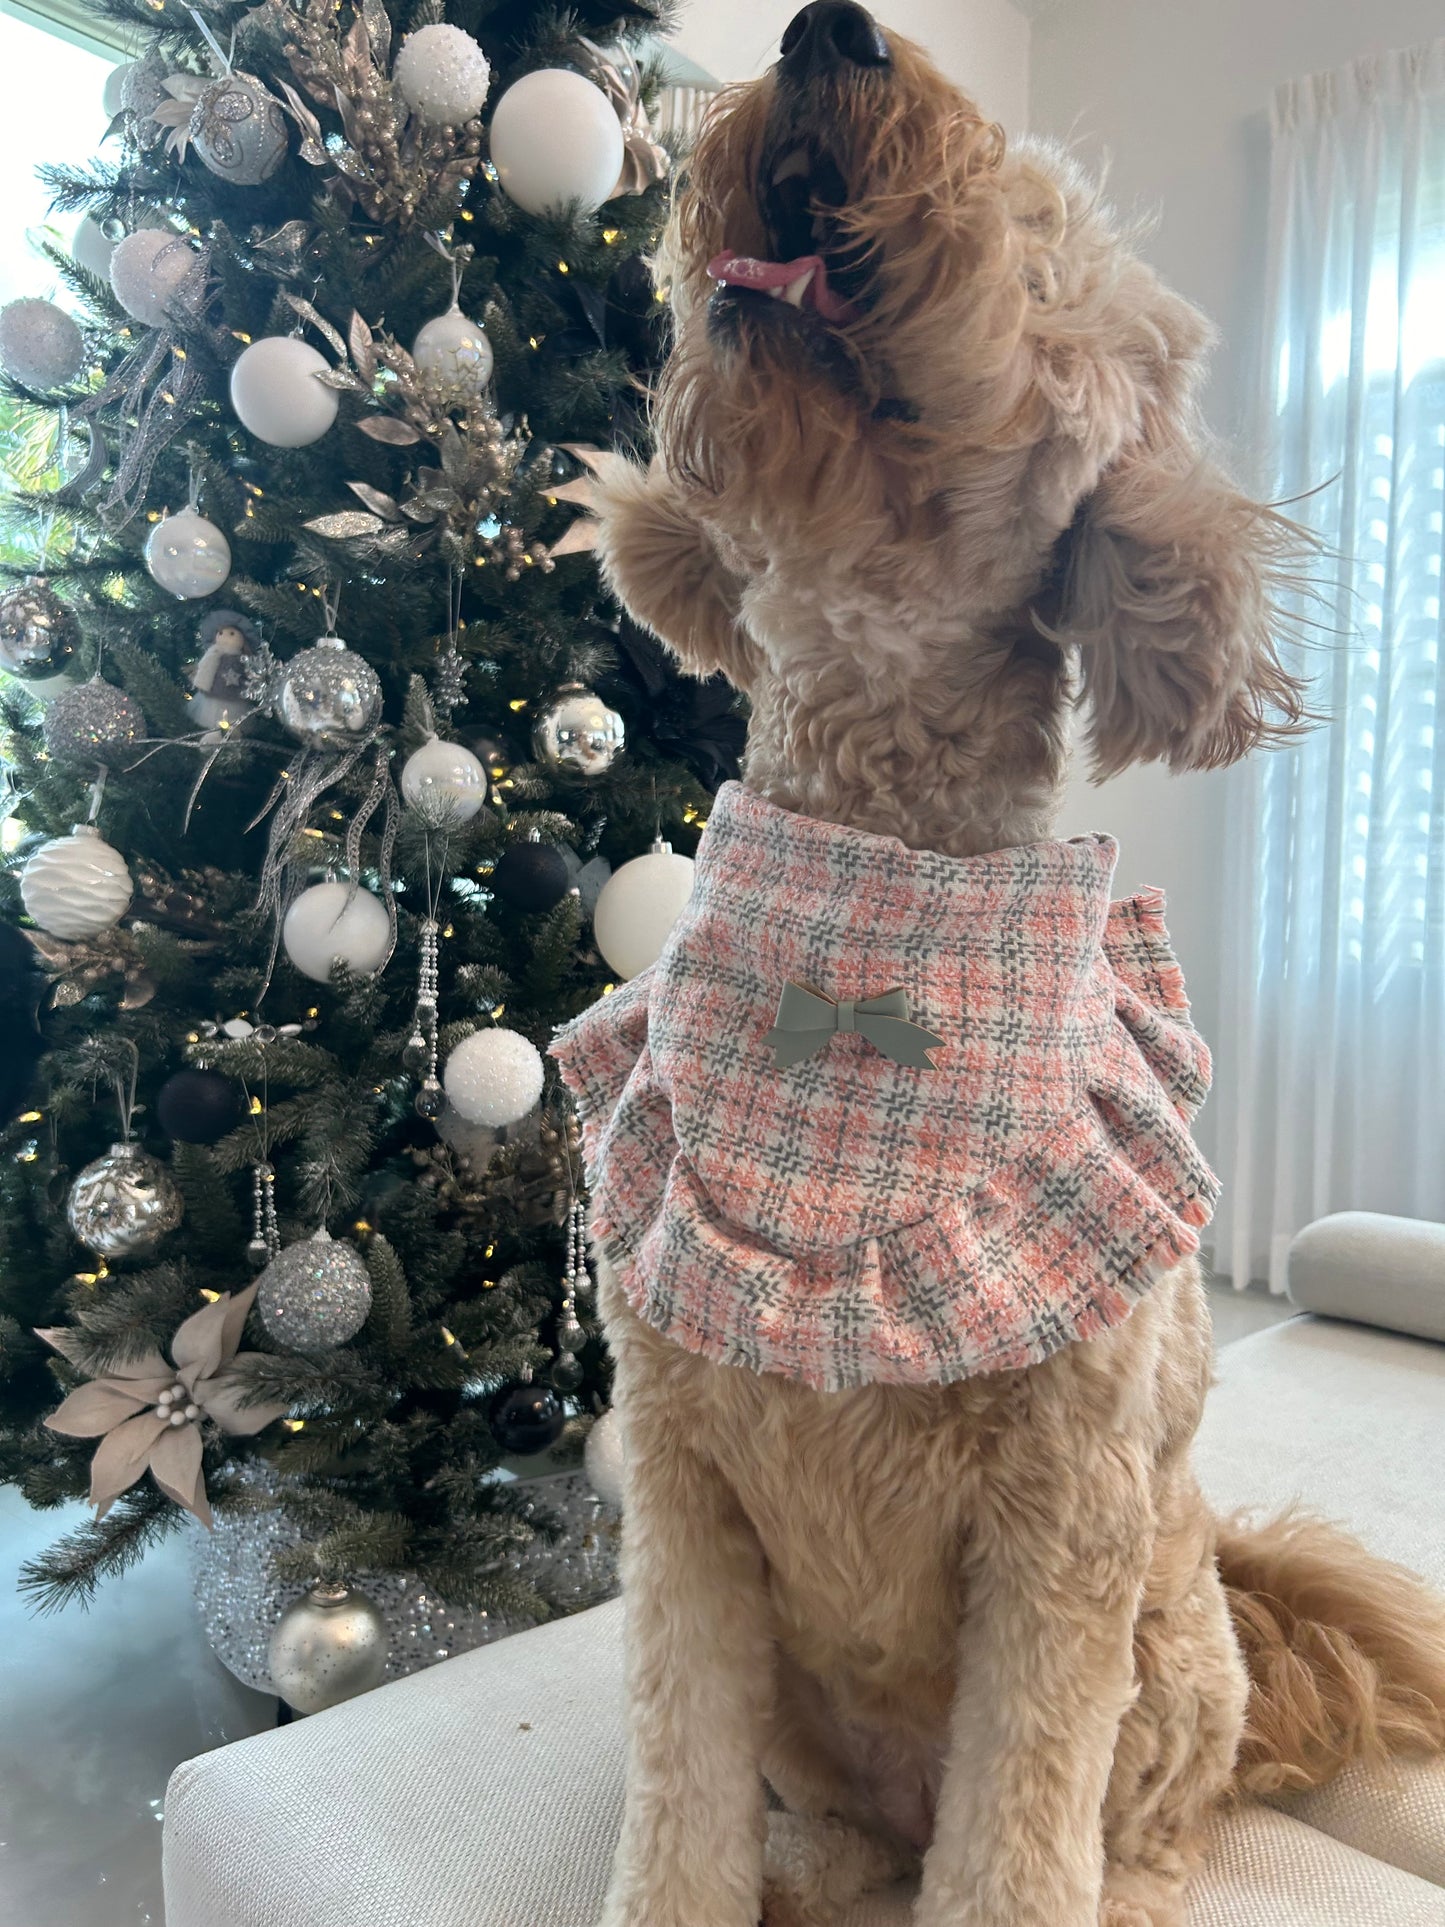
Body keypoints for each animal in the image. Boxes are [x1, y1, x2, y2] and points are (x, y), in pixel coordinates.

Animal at [574, 7, 1445, 1919]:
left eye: (1043, 241)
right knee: (833, 1832)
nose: (827, 32)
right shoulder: (681, 1506)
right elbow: (671, 1808)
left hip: (1167, 1649)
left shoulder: (1061, 1536)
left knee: (1150, 1824)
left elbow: (1016, 1848)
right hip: (814, 1723)